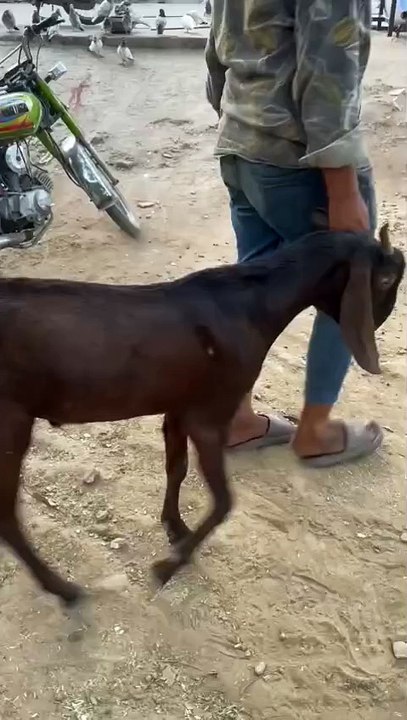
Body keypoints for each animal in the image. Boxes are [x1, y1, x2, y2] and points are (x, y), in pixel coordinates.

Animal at [0, 227, 404, 605]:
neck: (252, 306)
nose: (379, 323)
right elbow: (225, 502)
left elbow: (176, 468)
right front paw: (169, 565)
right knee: (7, 516)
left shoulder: (179, 407)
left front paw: (176, 528)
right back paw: (63, 589)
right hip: (11, 423)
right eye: (386, 279)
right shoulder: (209, 417)